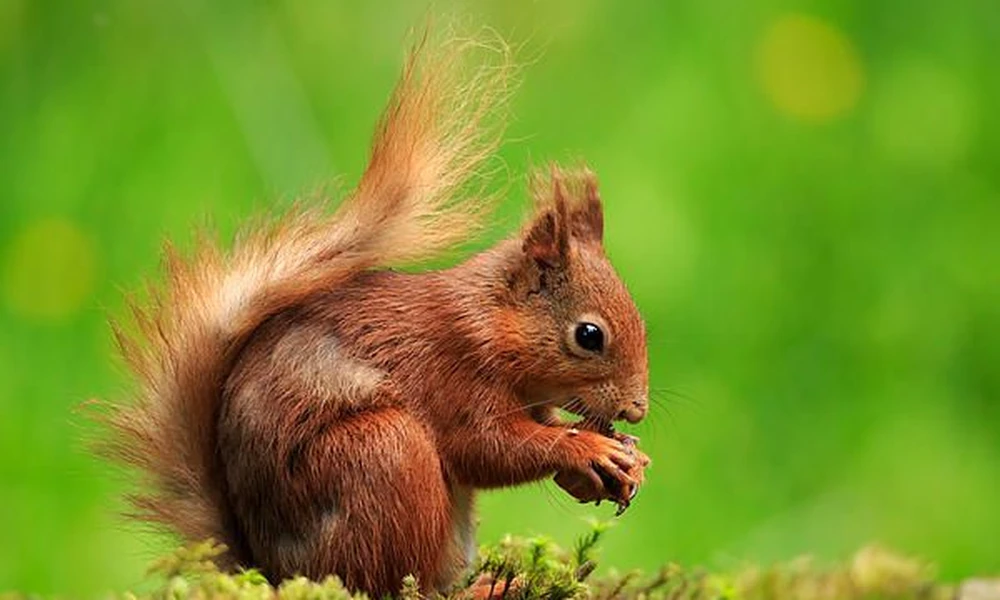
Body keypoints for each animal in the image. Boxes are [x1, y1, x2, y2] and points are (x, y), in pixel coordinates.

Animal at [98, 32, 651, 597]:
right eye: (589, 335)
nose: (637, 410)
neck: (491, 322)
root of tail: (273, 571)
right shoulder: (454, 373)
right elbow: (488, 448)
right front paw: (586, 449)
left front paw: (623, 461)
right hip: (383, 454)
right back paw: (485, 587)